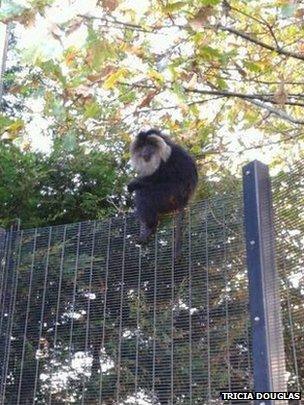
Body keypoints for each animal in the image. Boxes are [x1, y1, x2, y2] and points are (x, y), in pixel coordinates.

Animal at [127, 129, 198, 258]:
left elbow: (158, 177)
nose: (145, 151)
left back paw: (149, 228)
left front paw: (134, 183)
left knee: (143, 194)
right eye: (142, 146)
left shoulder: (168, 157)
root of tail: (185, 199)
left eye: (150, 145)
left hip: (170, 195)